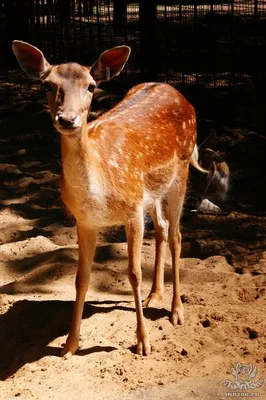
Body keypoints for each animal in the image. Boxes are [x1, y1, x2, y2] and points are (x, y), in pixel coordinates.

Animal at [12, 40, 208, 358]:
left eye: (91, 86)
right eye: (47, 85)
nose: (67, 119)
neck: (99, 193)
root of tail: (176, 91)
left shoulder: (132, 210)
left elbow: (133, 273)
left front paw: (143, 342)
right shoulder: (85, 221)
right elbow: (81, 279)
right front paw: (69, 345)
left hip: (180, 171)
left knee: (177, 235)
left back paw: (176, 311)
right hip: (151, 190)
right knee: (163, 228)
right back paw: (155, 295)